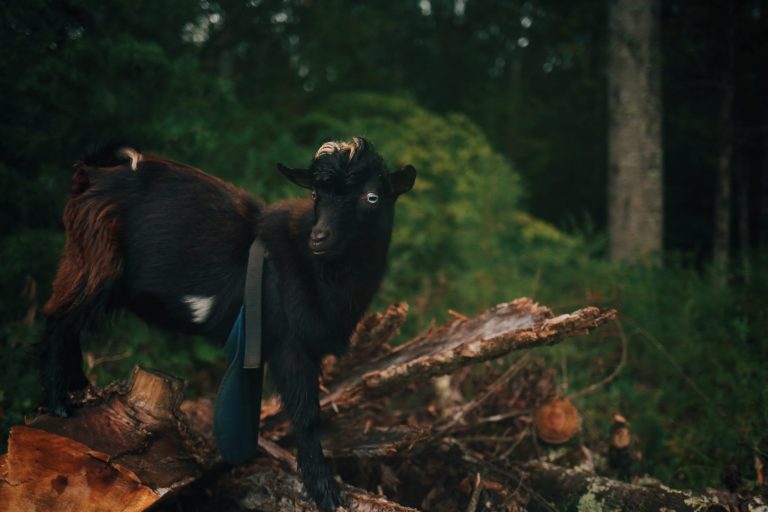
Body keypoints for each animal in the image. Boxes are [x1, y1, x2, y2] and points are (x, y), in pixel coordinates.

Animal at [40, 137, 416, 510]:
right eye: (314, 194)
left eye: (372, 197)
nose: (319, 237)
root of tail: (92, 171)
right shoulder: (289, 344)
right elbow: (308, 416)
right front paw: (324, 489)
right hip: (94, 259)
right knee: (58, 320)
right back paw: (58, 403)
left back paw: (79, 389)